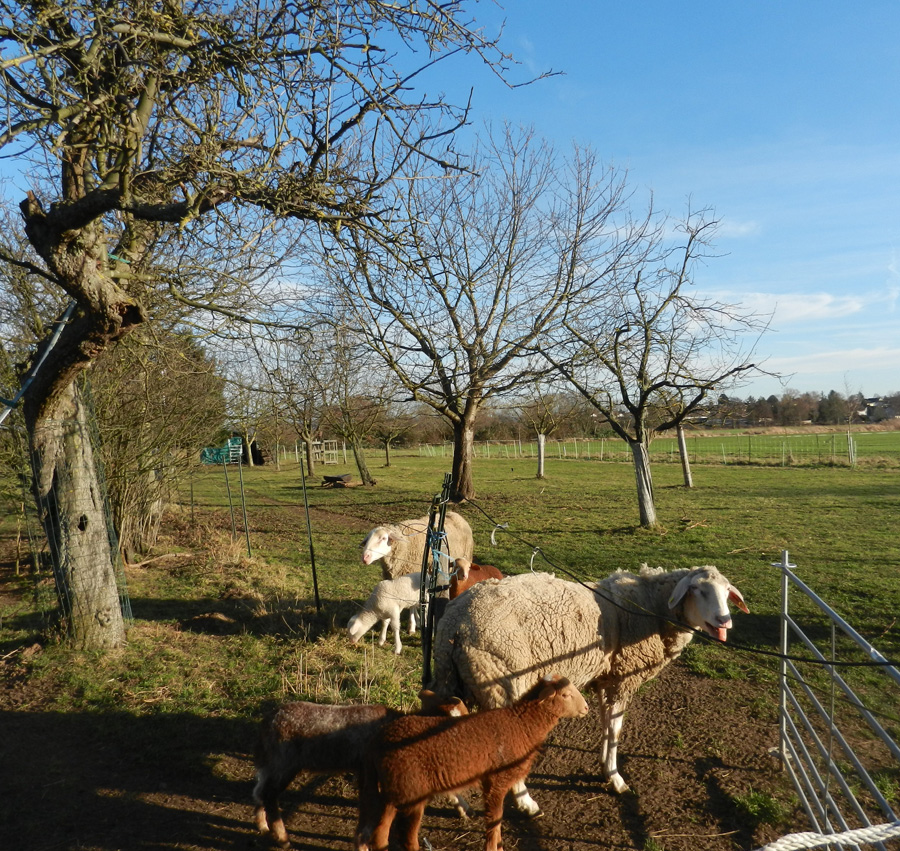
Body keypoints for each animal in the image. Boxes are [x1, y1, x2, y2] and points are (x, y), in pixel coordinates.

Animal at [356, 672, 596, 851]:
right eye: (565, 694)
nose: (586, 708)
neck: (522, 724)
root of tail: (377, 743)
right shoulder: (497, 781)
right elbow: (495, 819)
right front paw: (494, 846)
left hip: (394, 789)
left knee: (380, 832)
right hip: (412, 791)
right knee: (406, 838)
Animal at [428, 564, 744, 812]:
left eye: (727, 591)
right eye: (697, 590)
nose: (725, 621)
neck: (649, 610)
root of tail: (454, 626)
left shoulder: (607, 679)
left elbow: (606, 724)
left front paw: (605, 766)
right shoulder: (623, 678)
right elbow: (616, 729)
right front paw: (616, 779)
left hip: (451, 679)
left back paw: (460, 805)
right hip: (500, 681)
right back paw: (526, 802)